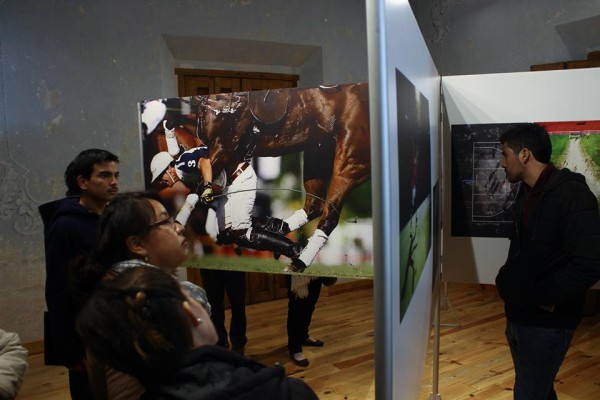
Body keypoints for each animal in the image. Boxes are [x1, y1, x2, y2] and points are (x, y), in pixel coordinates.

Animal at [192, 83, 370, 272]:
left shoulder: (223, 147)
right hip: (317, 155)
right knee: (314, 206)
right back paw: (274, 230)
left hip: (350, 164)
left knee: (328, 217)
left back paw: (298, 261)